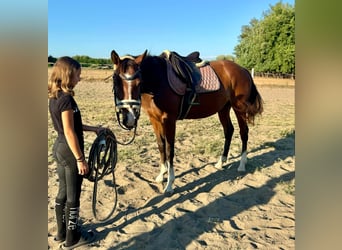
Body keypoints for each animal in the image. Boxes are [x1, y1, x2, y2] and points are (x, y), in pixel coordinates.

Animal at [111, 49, 264, 196]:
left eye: (139, 82)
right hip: (223, 109)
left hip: (239, 109)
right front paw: (161, 175)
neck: (158, 81)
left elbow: (169, 149)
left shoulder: (169, 120)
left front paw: (169, 185)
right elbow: (161, 145)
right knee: (229, 131)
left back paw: (241, 165)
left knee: (243, 133)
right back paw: (221, 162)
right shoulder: (154, 119)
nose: (129, 118)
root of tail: (243, 70)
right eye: (115, 81)